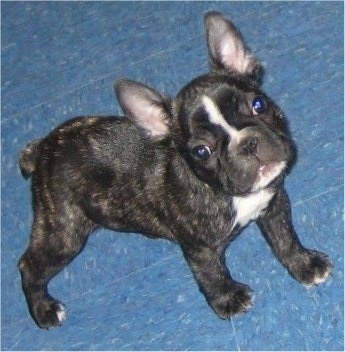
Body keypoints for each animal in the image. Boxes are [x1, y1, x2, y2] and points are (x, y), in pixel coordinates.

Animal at [18, 11, 330, 330]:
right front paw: (228, 299)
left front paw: (304, 265)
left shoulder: (274, 203)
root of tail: (42, 149)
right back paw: (43, 309)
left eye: (258, 104)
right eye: (201, 152)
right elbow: (211, 274)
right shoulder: (199, 249)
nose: (248, 143)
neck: (224, 192)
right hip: (64, 233)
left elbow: (284, 237)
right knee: (29, 265)